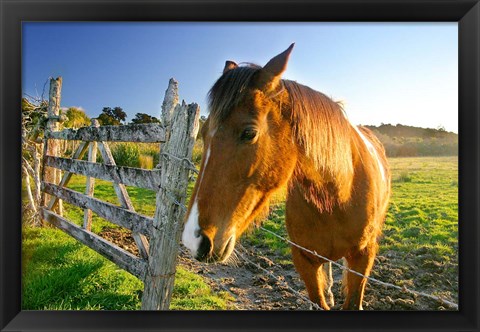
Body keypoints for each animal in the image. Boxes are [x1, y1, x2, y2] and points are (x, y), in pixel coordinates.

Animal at [182, 42, 392, 310]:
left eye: (249, 132)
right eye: (204, 133)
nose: (193, 239)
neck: (338, 196)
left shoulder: (362, 257)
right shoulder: (304, 259)